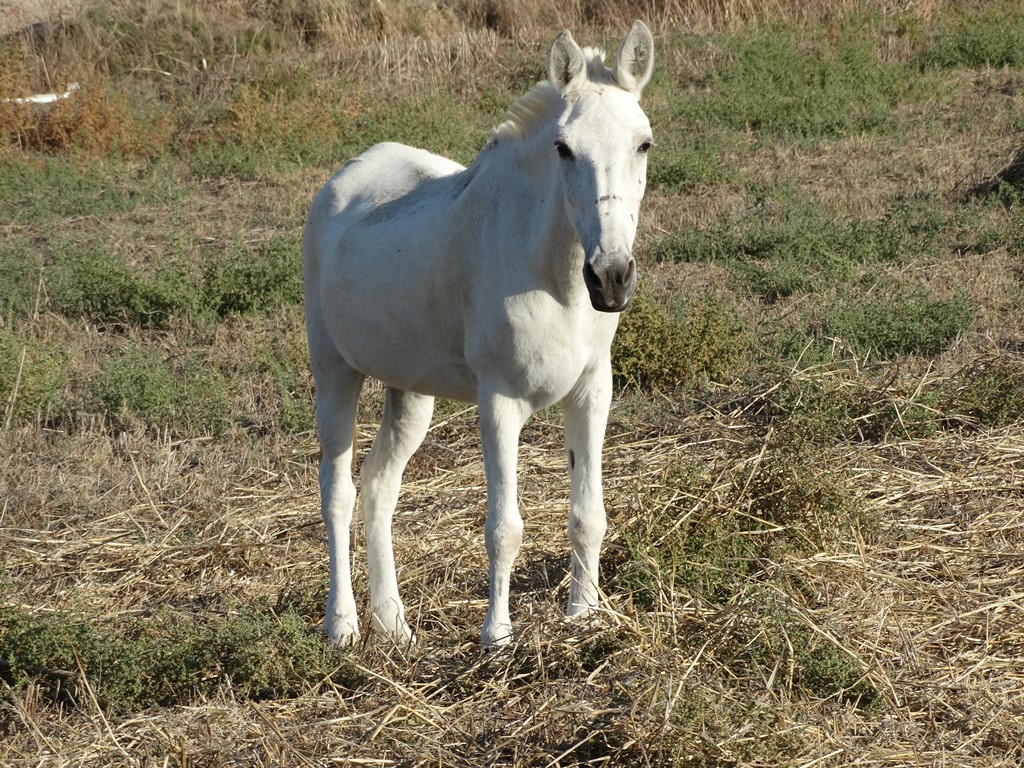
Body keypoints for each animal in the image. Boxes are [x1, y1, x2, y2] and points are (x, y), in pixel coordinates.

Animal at [303, 20, 655, 647]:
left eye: (643, 144)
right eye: (563, 148)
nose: (611, 277)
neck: (555, 281)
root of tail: (342, 180)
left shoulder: (593, 390)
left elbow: (588, 514)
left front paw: (584, 616)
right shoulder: (499, 401)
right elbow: (503, 528)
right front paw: (497, 637)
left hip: (409, 391)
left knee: (378, 486)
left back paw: (394, 625)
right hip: (335, 371)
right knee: (337, 491)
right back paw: (342, 626)